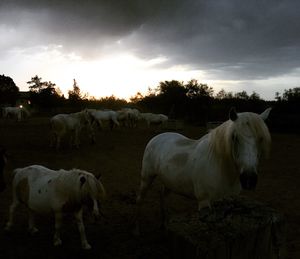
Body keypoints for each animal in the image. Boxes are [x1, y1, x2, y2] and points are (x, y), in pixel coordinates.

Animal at [135, 107, 272, 234]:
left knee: (162, 196)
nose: (249, 179)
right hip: (146, 178)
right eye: (234, 137)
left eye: (261, 138)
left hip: (169, 182)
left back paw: (164, 225)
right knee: (140, 200)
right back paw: (138, 229)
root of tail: (157, 137)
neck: (221, 168)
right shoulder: (204, 202)